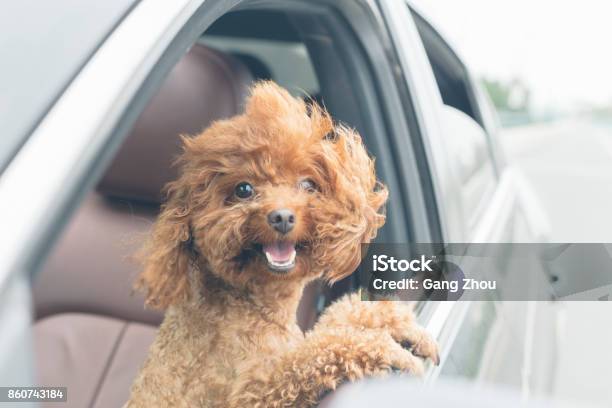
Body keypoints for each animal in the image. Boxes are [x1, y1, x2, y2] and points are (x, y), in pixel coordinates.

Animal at [126, 81, 438, 406]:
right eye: (244, 189)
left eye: (308, 185)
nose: (282, 217)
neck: (256, 308)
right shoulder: (247, 394)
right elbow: (310, 356)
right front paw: (382, 346)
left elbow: (333, 320)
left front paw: (392, 321)